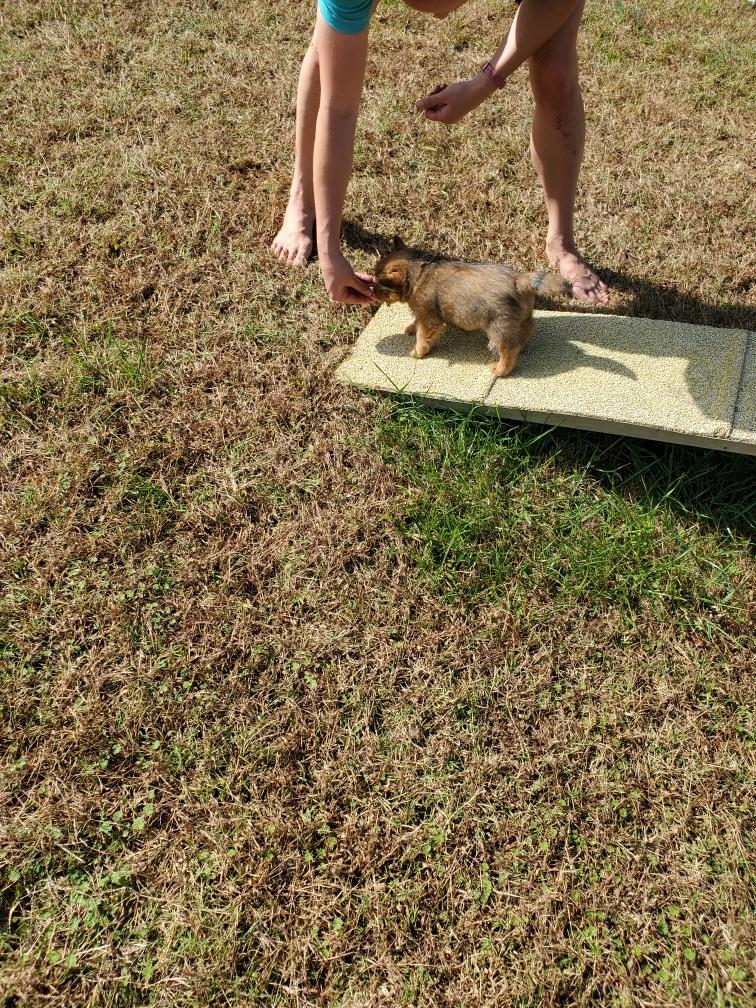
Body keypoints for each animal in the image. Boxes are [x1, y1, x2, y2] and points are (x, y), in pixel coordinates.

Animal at [373, 238, 569, 377]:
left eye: (380, 285)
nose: (372, 291)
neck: (418, 271)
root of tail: (518, 281)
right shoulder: (423, 313)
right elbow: (416, 321)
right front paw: (410, 328)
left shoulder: (430, 318)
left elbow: (422, 336)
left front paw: (417, 352)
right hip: (521, 319)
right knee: (526, 331)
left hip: (498, 329)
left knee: (509, 350)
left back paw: (500, 370)